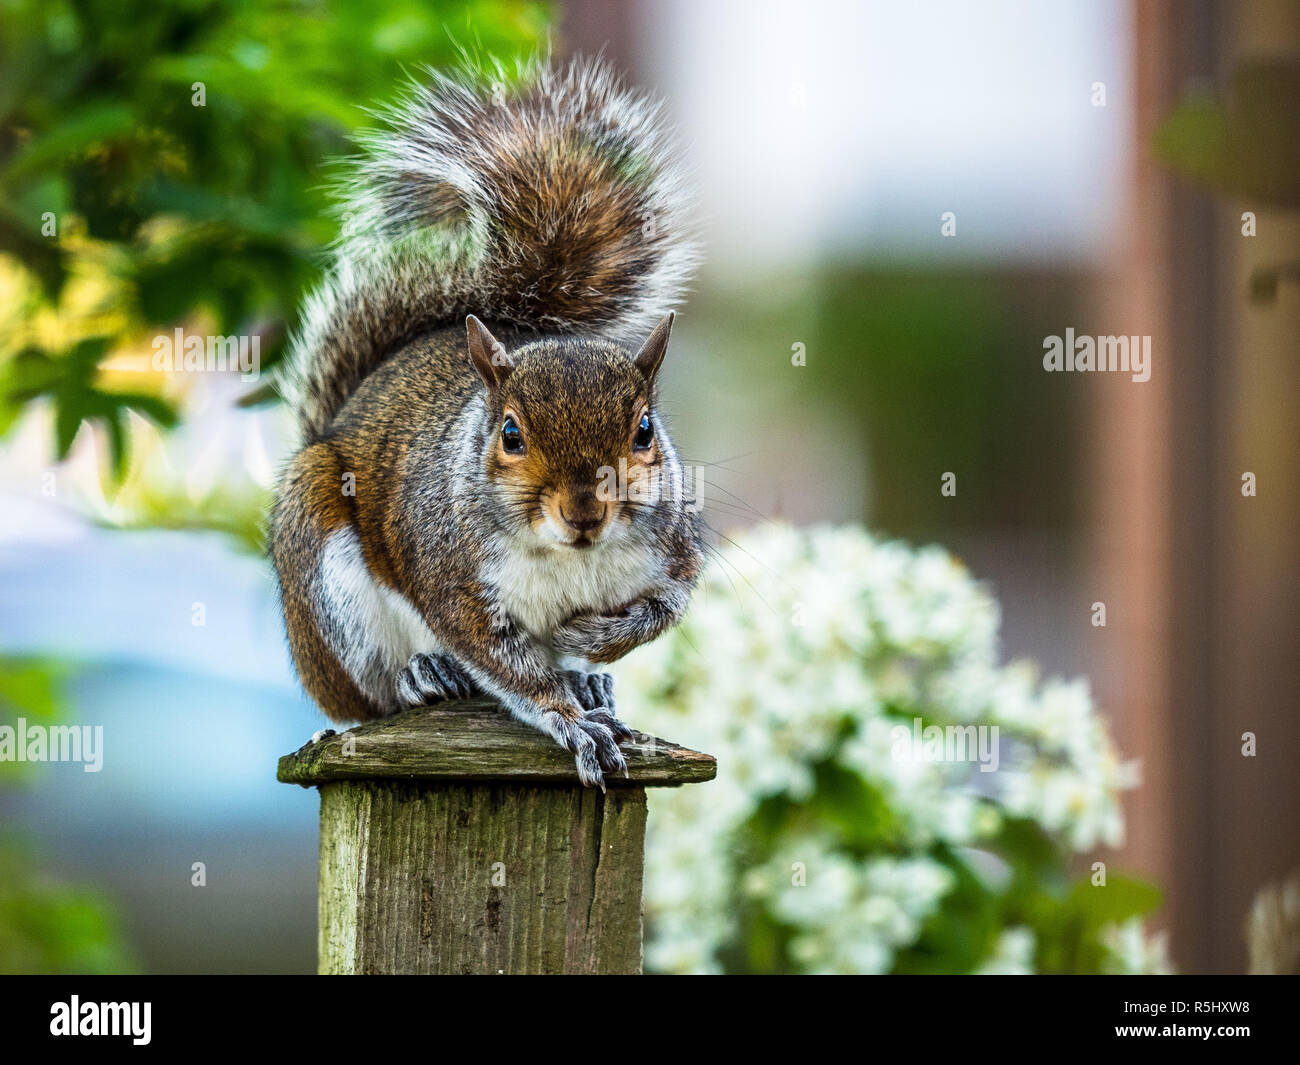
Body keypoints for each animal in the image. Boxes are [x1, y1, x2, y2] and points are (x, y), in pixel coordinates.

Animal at [270, 57, 703, 789]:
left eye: (645, 430)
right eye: (510, 435)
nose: (584, 512)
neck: (572, 556)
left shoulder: (677, 553)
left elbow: (662, 609)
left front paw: (593, 643)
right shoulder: (456, 583)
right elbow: (509, 668)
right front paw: (570, 720)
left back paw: (589, 678)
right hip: (323, 566)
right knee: (369, 695)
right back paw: (422, 675)